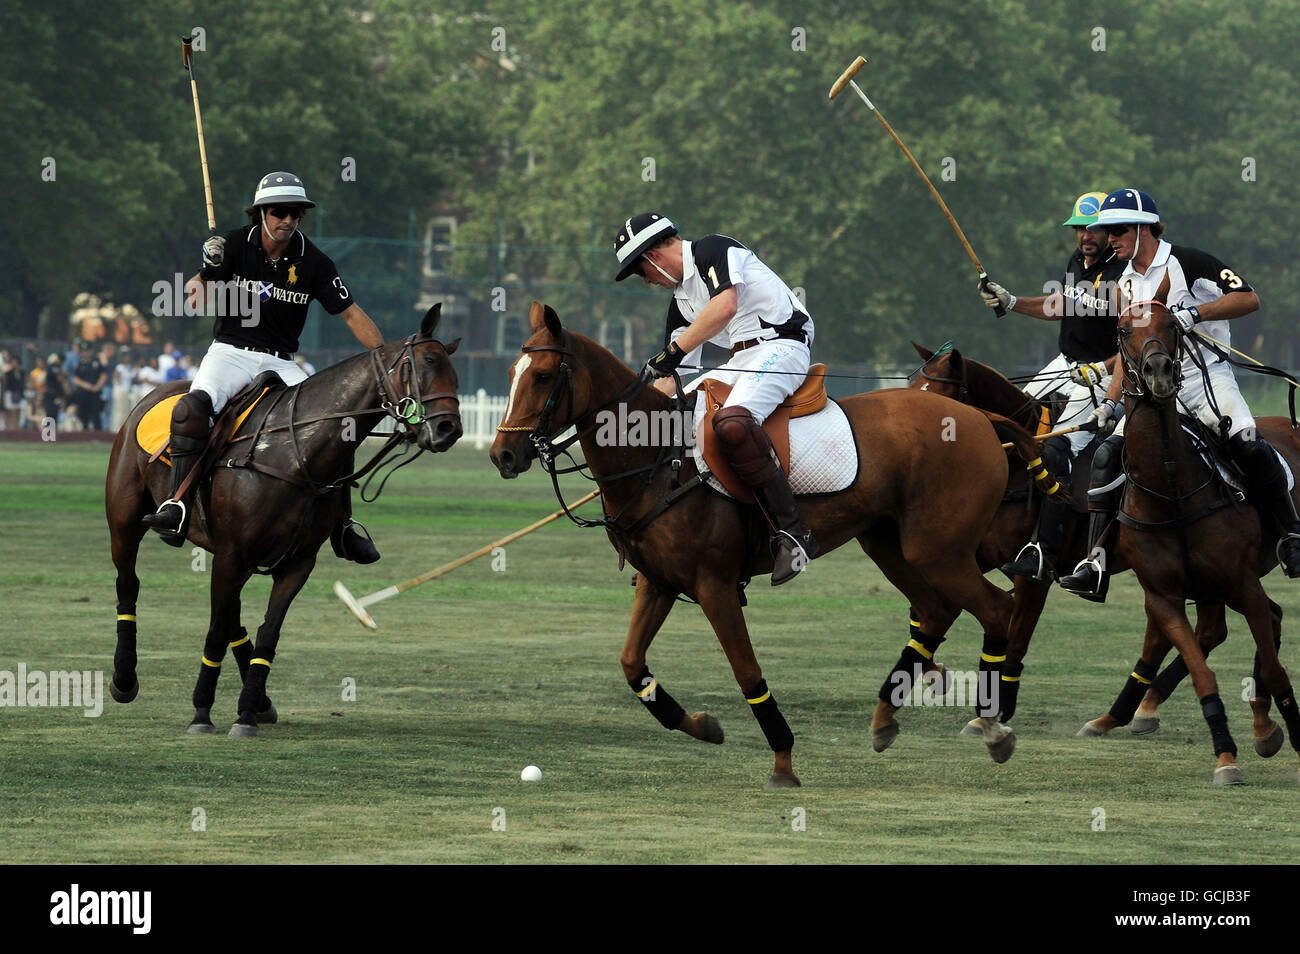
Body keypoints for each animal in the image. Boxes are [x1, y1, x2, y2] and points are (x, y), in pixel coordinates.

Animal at [106, 306, 462, 738]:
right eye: (423, 365)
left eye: (454, 373)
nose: (449, 429)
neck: (292, 454)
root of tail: (152, 395)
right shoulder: (232, 554)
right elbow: (215, 632)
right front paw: (202, 712)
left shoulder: (296, 563)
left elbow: (267, 633)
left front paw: (246, 712)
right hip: (125, 519)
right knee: (130, 583)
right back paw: (124, 679)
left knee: (232, 614)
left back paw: (261, 704)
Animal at [488, 302, 1045, 790]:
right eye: (512, 372)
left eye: (542, 376)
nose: (502, 455)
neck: (656, 457)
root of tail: (980, 419)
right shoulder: (659, 581)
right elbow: (631, 664)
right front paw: (703, 726)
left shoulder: (714, 585)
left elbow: (748, 673)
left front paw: (782, 763)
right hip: (890, 544)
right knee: (935, 609)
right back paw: (888, 717)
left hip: (939, 549)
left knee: (999, 608)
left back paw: (991, 725)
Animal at [1081, 302, 1300, 790]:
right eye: (1122, 330)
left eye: (1172, 326)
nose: (1159, 372)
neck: (1173, 489)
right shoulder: (1164, 594)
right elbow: (1202, 671)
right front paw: (1227, 755)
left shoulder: (1240, 583)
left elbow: (1274, 667)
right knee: (1227, 628)